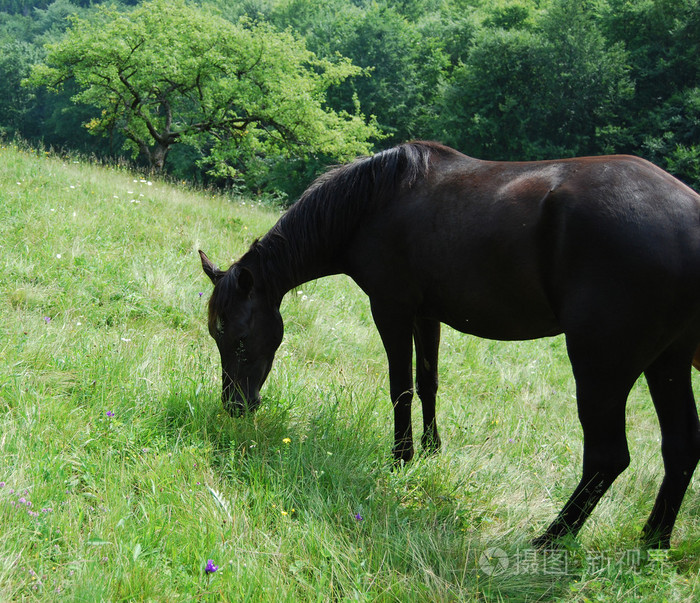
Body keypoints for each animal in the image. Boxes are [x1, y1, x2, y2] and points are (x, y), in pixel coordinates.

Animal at [197, 142, 700, 548]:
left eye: (238, 338)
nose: (235, 407)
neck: (374, 201)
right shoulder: (426, 314)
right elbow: (428, 383)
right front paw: (431, 450)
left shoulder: (391, 308)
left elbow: (400, 386)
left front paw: (401, 458)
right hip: (668, 362)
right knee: (680, 449)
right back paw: (652, 542)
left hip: (602, 365)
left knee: (606, 457)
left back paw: (550, 540)